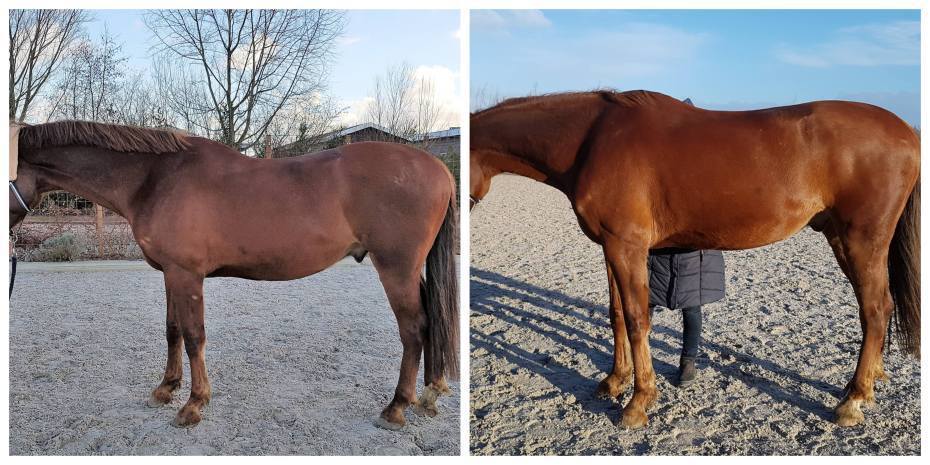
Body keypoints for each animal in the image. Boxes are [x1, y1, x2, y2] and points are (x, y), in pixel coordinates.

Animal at [8, 120, 459, 429]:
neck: (155, 178)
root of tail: (437, 167)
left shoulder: (187, 275)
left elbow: (194, 337)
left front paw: (194, 404)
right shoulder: (171, 274)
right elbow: (172, 331)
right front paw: (165, 389)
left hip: (396, 268)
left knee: (415, 329)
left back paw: (397, 407)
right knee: (432, 323)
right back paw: (431, 394)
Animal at [469, 90, 919, 428]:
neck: (591, 141)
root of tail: (906, 132)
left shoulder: (627, 246)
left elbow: (637, 319)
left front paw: (638, 402)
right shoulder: (610, 247)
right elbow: (616, 314)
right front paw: (614, 381)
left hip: (862, 241)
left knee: (874, 310)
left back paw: (853, 400)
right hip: (843, 239)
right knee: (880, 309)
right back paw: (868, 382)